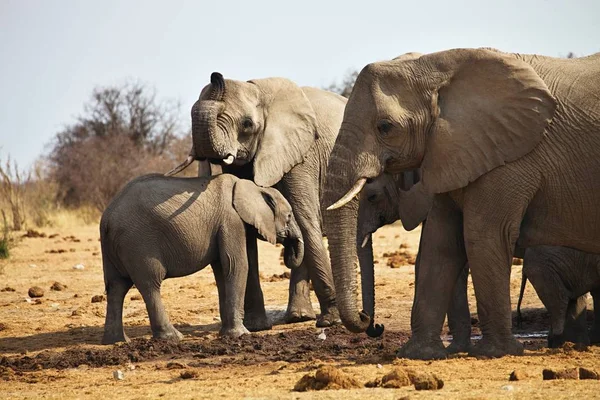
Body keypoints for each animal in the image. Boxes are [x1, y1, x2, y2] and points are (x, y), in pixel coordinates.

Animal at [101, 173, 304, 346]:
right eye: (289, 216)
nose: (287, 254)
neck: (251, 187)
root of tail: (107, 218)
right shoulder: (231, 221)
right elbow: (236, 265)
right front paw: (240, 335)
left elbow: (222, 270)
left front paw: (226, 334)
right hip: (138, 243)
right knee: (150, 284)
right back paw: (172, 338)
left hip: (115, 247)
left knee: (116, 287)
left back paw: (117, 341)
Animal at [169, 72, 346, 328]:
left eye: (247, 124)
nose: (216, 75)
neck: (258, 91)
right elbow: (247, 231)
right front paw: (255, 326)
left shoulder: (302, 155)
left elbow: (305, 221)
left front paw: (331, 321)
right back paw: (298, 316)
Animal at [324, 47, 600, 360]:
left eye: (385, 127)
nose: (372, 323)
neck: (439, 65)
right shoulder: (451, 153)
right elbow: (441, 243)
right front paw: (420, 354)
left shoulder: (509, 157)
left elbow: (482, 237)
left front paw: (495, 353)